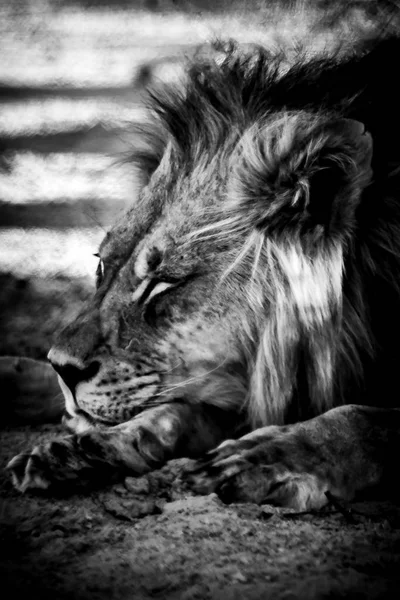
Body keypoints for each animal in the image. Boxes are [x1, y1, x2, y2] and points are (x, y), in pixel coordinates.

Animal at [6, 36, 400, 506]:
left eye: (161, 285)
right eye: (102, 265)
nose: (63, 368)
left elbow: (363, 420)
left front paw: (262, 456)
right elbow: (168, 413)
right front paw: (80, 450)